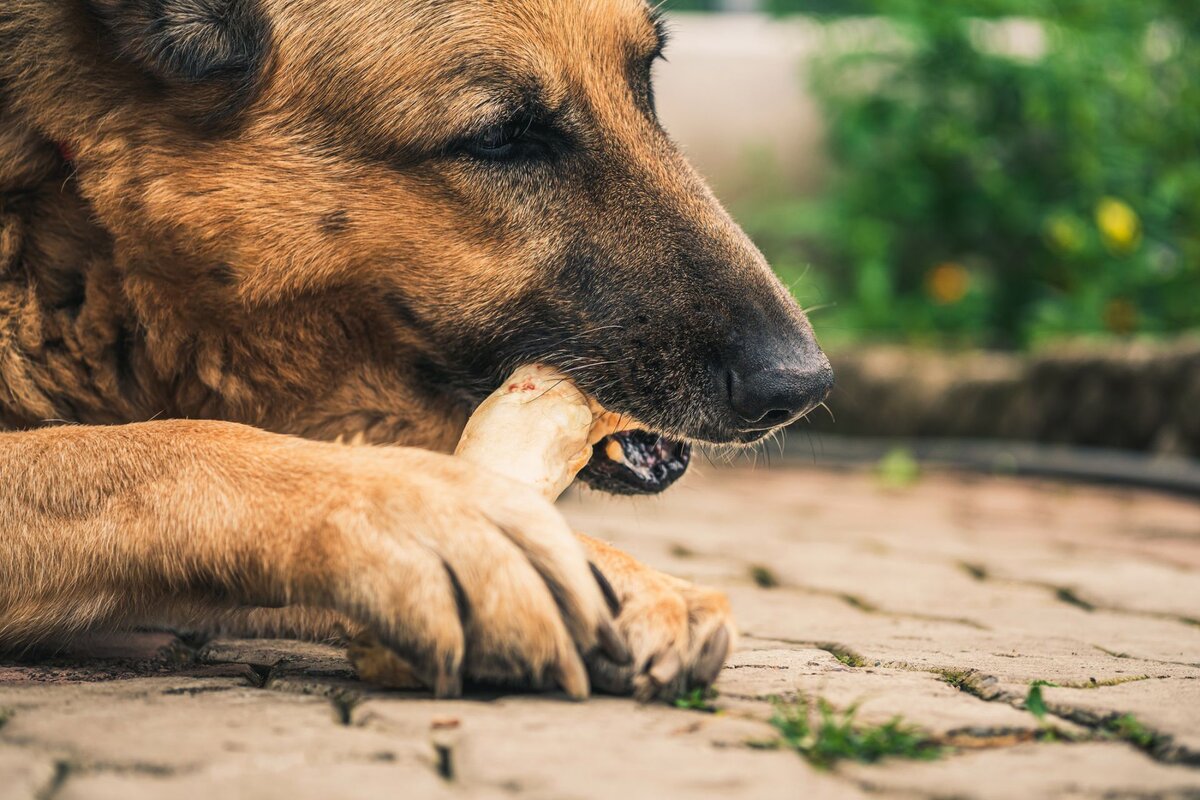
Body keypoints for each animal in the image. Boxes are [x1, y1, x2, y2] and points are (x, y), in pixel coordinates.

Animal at [0, 0, 830, 700]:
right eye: (500, 138)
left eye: (645, 80)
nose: (804, 386)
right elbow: (160, 447)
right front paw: (436, 518)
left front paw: (610, 571)